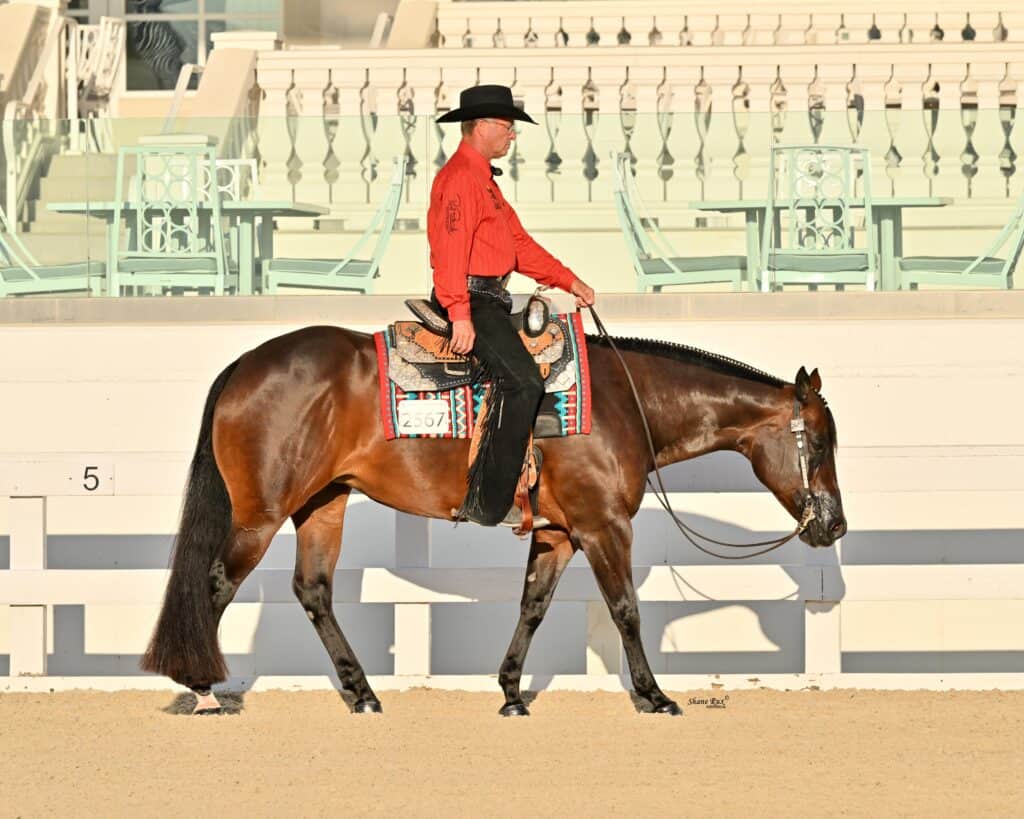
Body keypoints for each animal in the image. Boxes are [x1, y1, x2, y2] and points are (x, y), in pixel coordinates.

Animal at [141, 323, 845, 716]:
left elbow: (533, 606)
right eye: (819, 441)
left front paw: (510, 692)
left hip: (323, 506)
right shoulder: (604, 527)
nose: (834, 526)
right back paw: (203, 687)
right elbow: (626, 610)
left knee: (312, 590)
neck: (628, 402)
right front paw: (654, 695)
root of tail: (245, 365)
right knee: (214, 585)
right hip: (259, 516)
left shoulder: (559, 534)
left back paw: (362, 692)